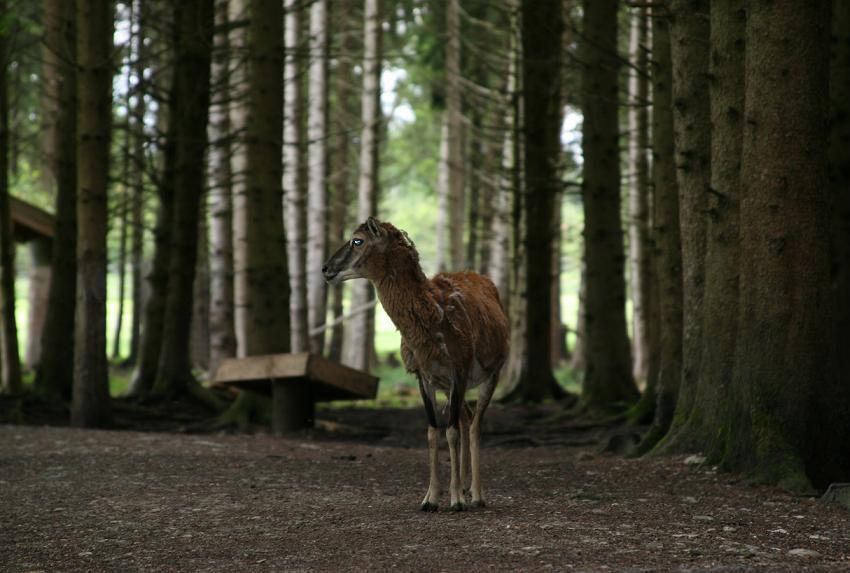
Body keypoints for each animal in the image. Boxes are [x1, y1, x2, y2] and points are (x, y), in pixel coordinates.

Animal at [322, 218, 506, 510]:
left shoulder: (459, 367)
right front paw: (430, 499)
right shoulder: (424, 375)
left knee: (475, 424)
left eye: (357, 240)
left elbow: (450, 432)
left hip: (493, 370)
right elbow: (432, 430)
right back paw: (466, 487)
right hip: (452, 386)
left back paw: (476, 495)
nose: (326, 269)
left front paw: (455, 500)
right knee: (466, 417)